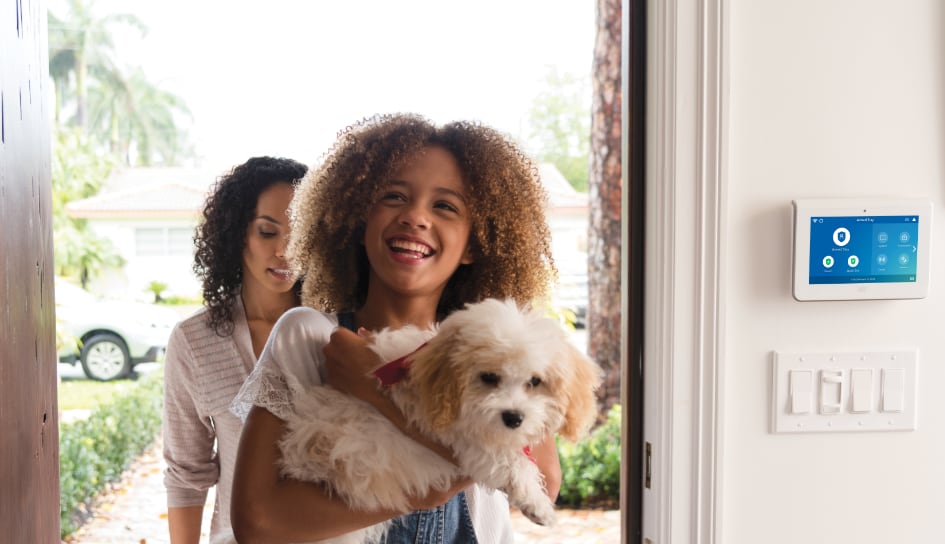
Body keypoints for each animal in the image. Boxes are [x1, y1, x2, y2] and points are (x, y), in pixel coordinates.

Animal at [272, 298, 600, 544]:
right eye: (489, 377)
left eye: (535, 381)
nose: (513, 417)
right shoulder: (457, 434)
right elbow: (508, 461)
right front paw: (539, 506)